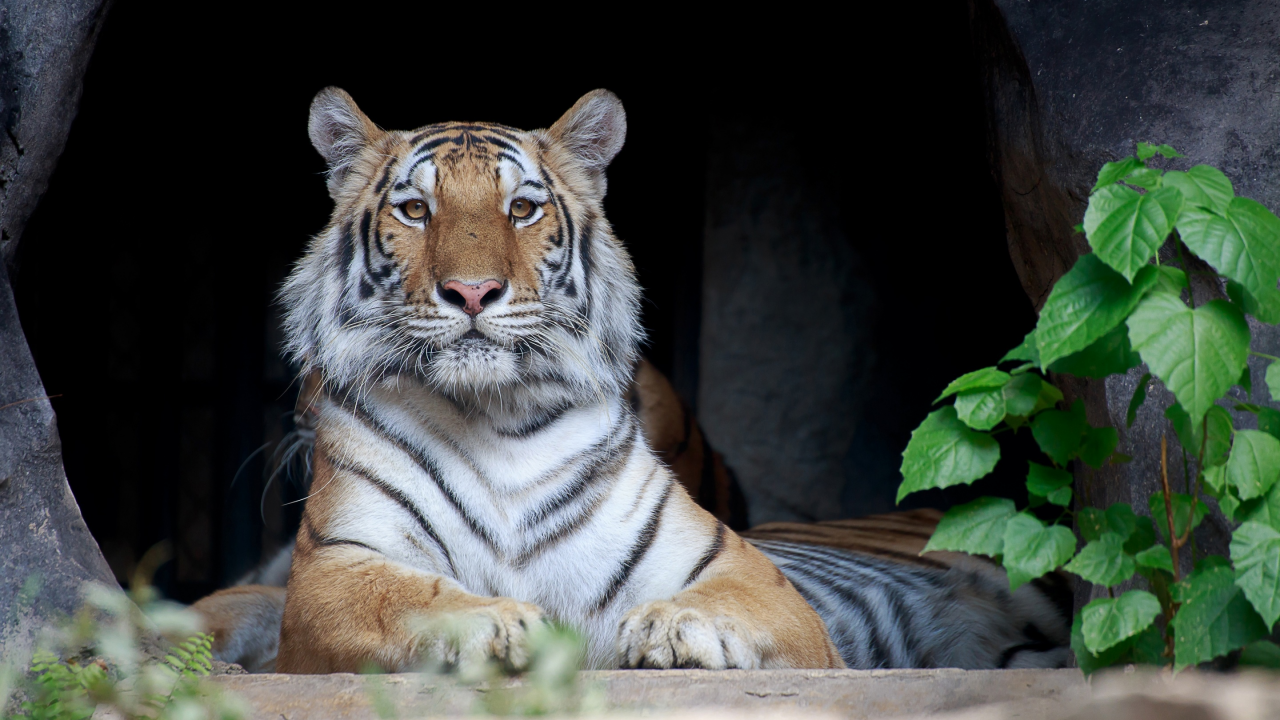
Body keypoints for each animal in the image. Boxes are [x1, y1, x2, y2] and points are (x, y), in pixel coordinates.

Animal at [189, 88, 1070, 671]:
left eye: (522, 209)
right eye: (414, 210)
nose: (472, 292)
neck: (493, 416)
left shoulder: (743, 572)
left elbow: (726, 599)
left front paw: (673, 632)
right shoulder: (336, 568)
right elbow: (408, 597)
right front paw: (500, 626)